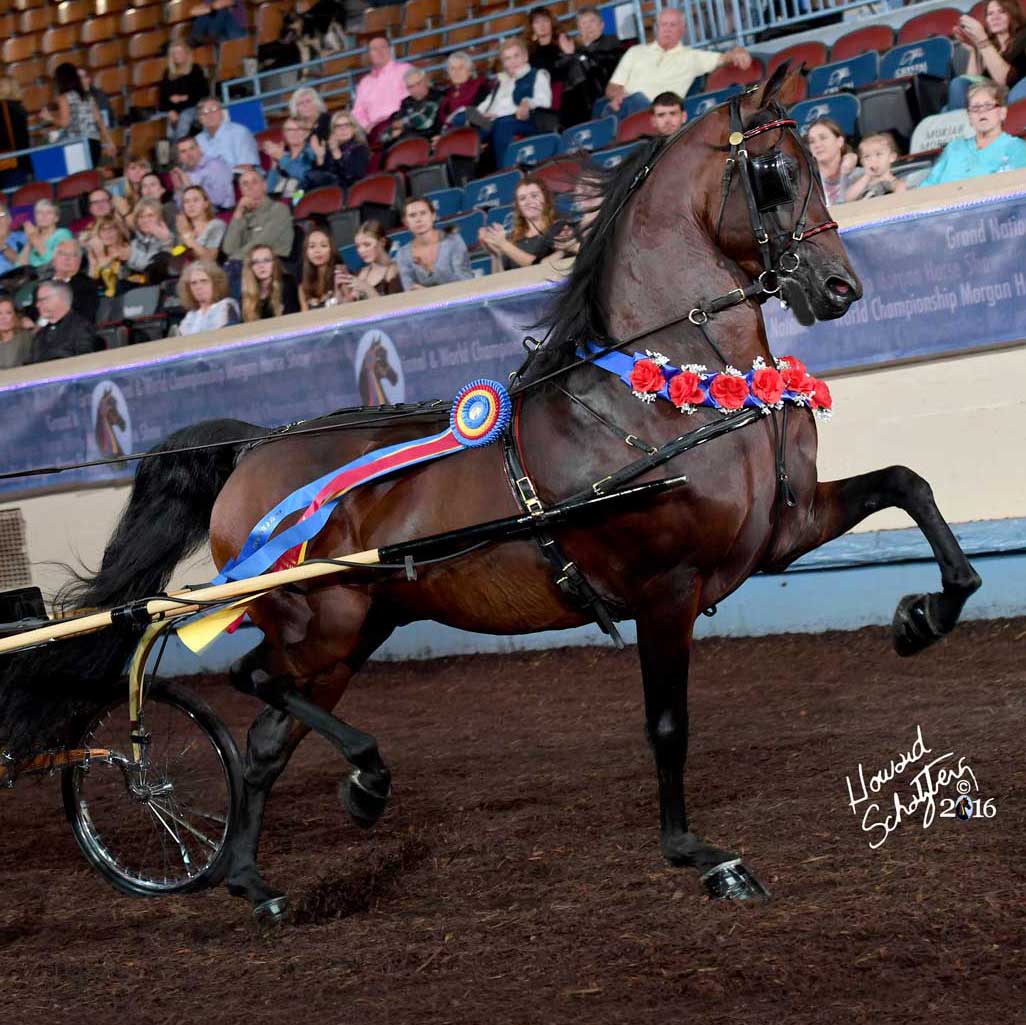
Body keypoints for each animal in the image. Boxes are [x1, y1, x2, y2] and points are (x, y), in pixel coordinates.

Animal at [3, 66, 980, 919]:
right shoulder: (665, 589)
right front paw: (701, 855)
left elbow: (910, 485)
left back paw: (258, 878)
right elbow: (668, 724)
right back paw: (361, 778)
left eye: (821, 160)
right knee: (250, 682)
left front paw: (922, 617)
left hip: (357, 626)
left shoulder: (779, 533)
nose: (840, 288)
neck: (672, 389)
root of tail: (253, 447)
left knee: (265, 742)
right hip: (317, 617)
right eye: (775, 173)